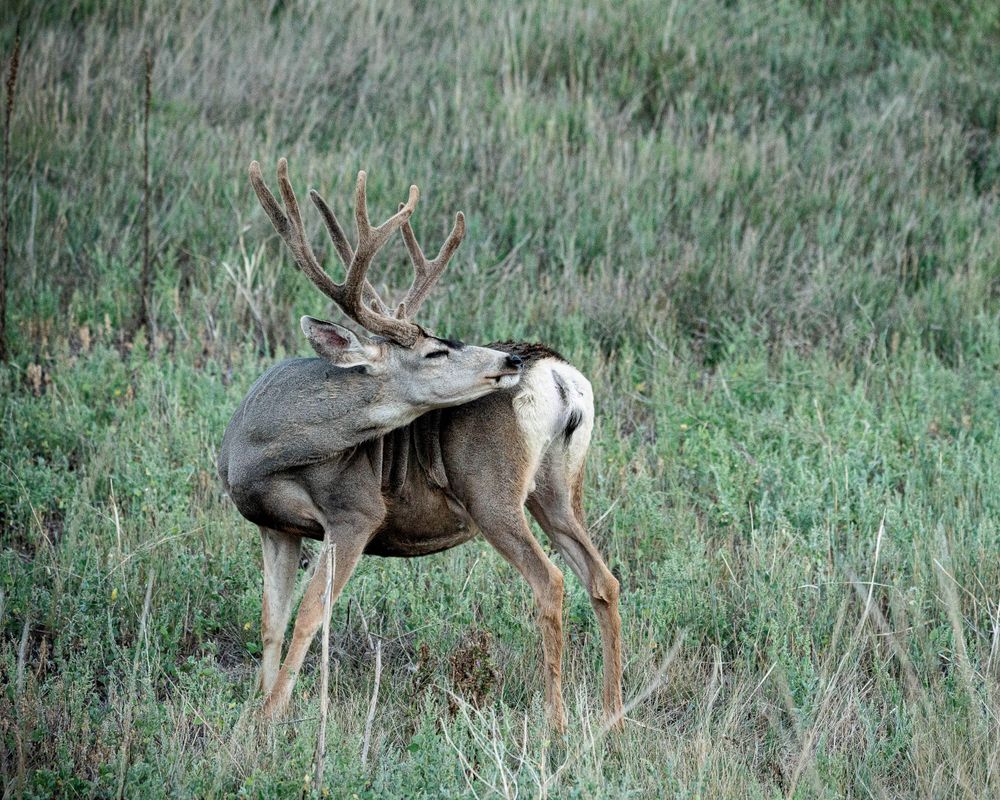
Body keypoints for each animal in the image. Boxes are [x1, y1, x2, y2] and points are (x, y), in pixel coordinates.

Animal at [218, 159, 623, 733]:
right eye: (435, 351)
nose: (509, 362)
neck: (263, 451)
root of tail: (560, 375)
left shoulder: (355, 511)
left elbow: (310, 615)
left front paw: (273, 714)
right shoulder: (274, 526)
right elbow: (271, 619)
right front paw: (257, 705)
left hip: (491, 493)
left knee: (551, 582)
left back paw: (556, 725)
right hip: (558, 489)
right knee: (602, 578)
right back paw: (613, 716)